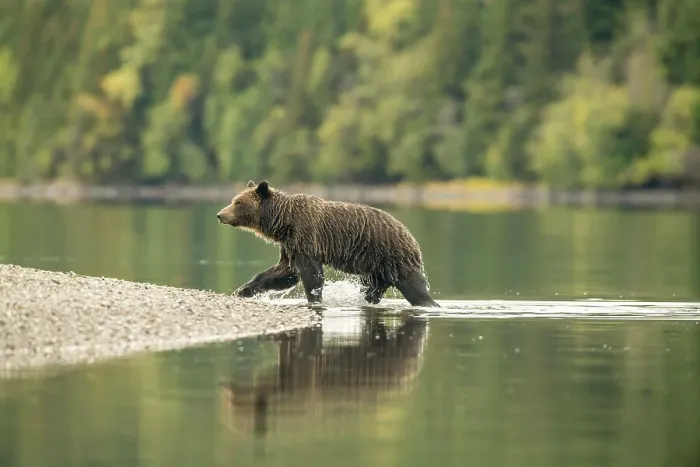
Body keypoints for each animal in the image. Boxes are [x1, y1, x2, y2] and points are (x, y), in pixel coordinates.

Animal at [216, 180, 440, 308]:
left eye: (237, 202)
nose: (220, 215)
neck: (282, 222)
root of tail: (410, 236)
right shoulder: (290, 245)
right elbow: (283, 273)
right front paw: (243, 290)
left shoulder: (306, 238)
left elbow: (311, 275)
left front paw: (314, 299)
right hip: (376, 270)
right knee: (371, 290)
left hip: (394, 257)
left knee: (415, 289)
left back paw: (430, 304)